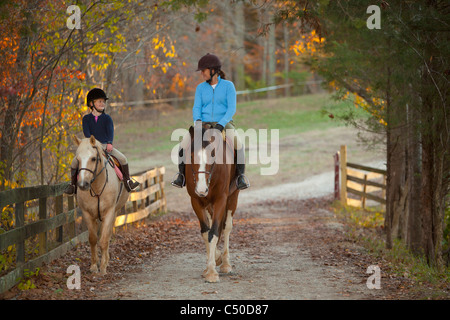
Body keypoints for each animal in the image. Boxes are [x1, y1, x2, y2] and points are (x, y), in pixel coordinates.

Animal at [72, 135, 128, 276]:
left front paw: (102, 267)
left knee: (107, 235)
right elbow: (93, 239)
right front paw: (93, 266)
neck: (97, 186)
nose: (83, 184)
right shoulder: (87, 213)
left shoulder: (109, 212)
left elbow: (104, 239)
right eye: (78, 159)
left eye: (93, 158)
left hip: (114, 211)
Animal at [185, 125, 241, 282]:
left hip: (232, 197)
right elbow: (206, 232)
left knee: (226, 227)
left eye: (213, 155)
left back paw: (226, 264)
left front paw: (211, 272)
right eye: (191, 156)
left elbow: (214, 232)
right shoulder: (196, 201)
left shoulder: (221, 200)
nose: (202, 189)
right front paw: (211, 263)